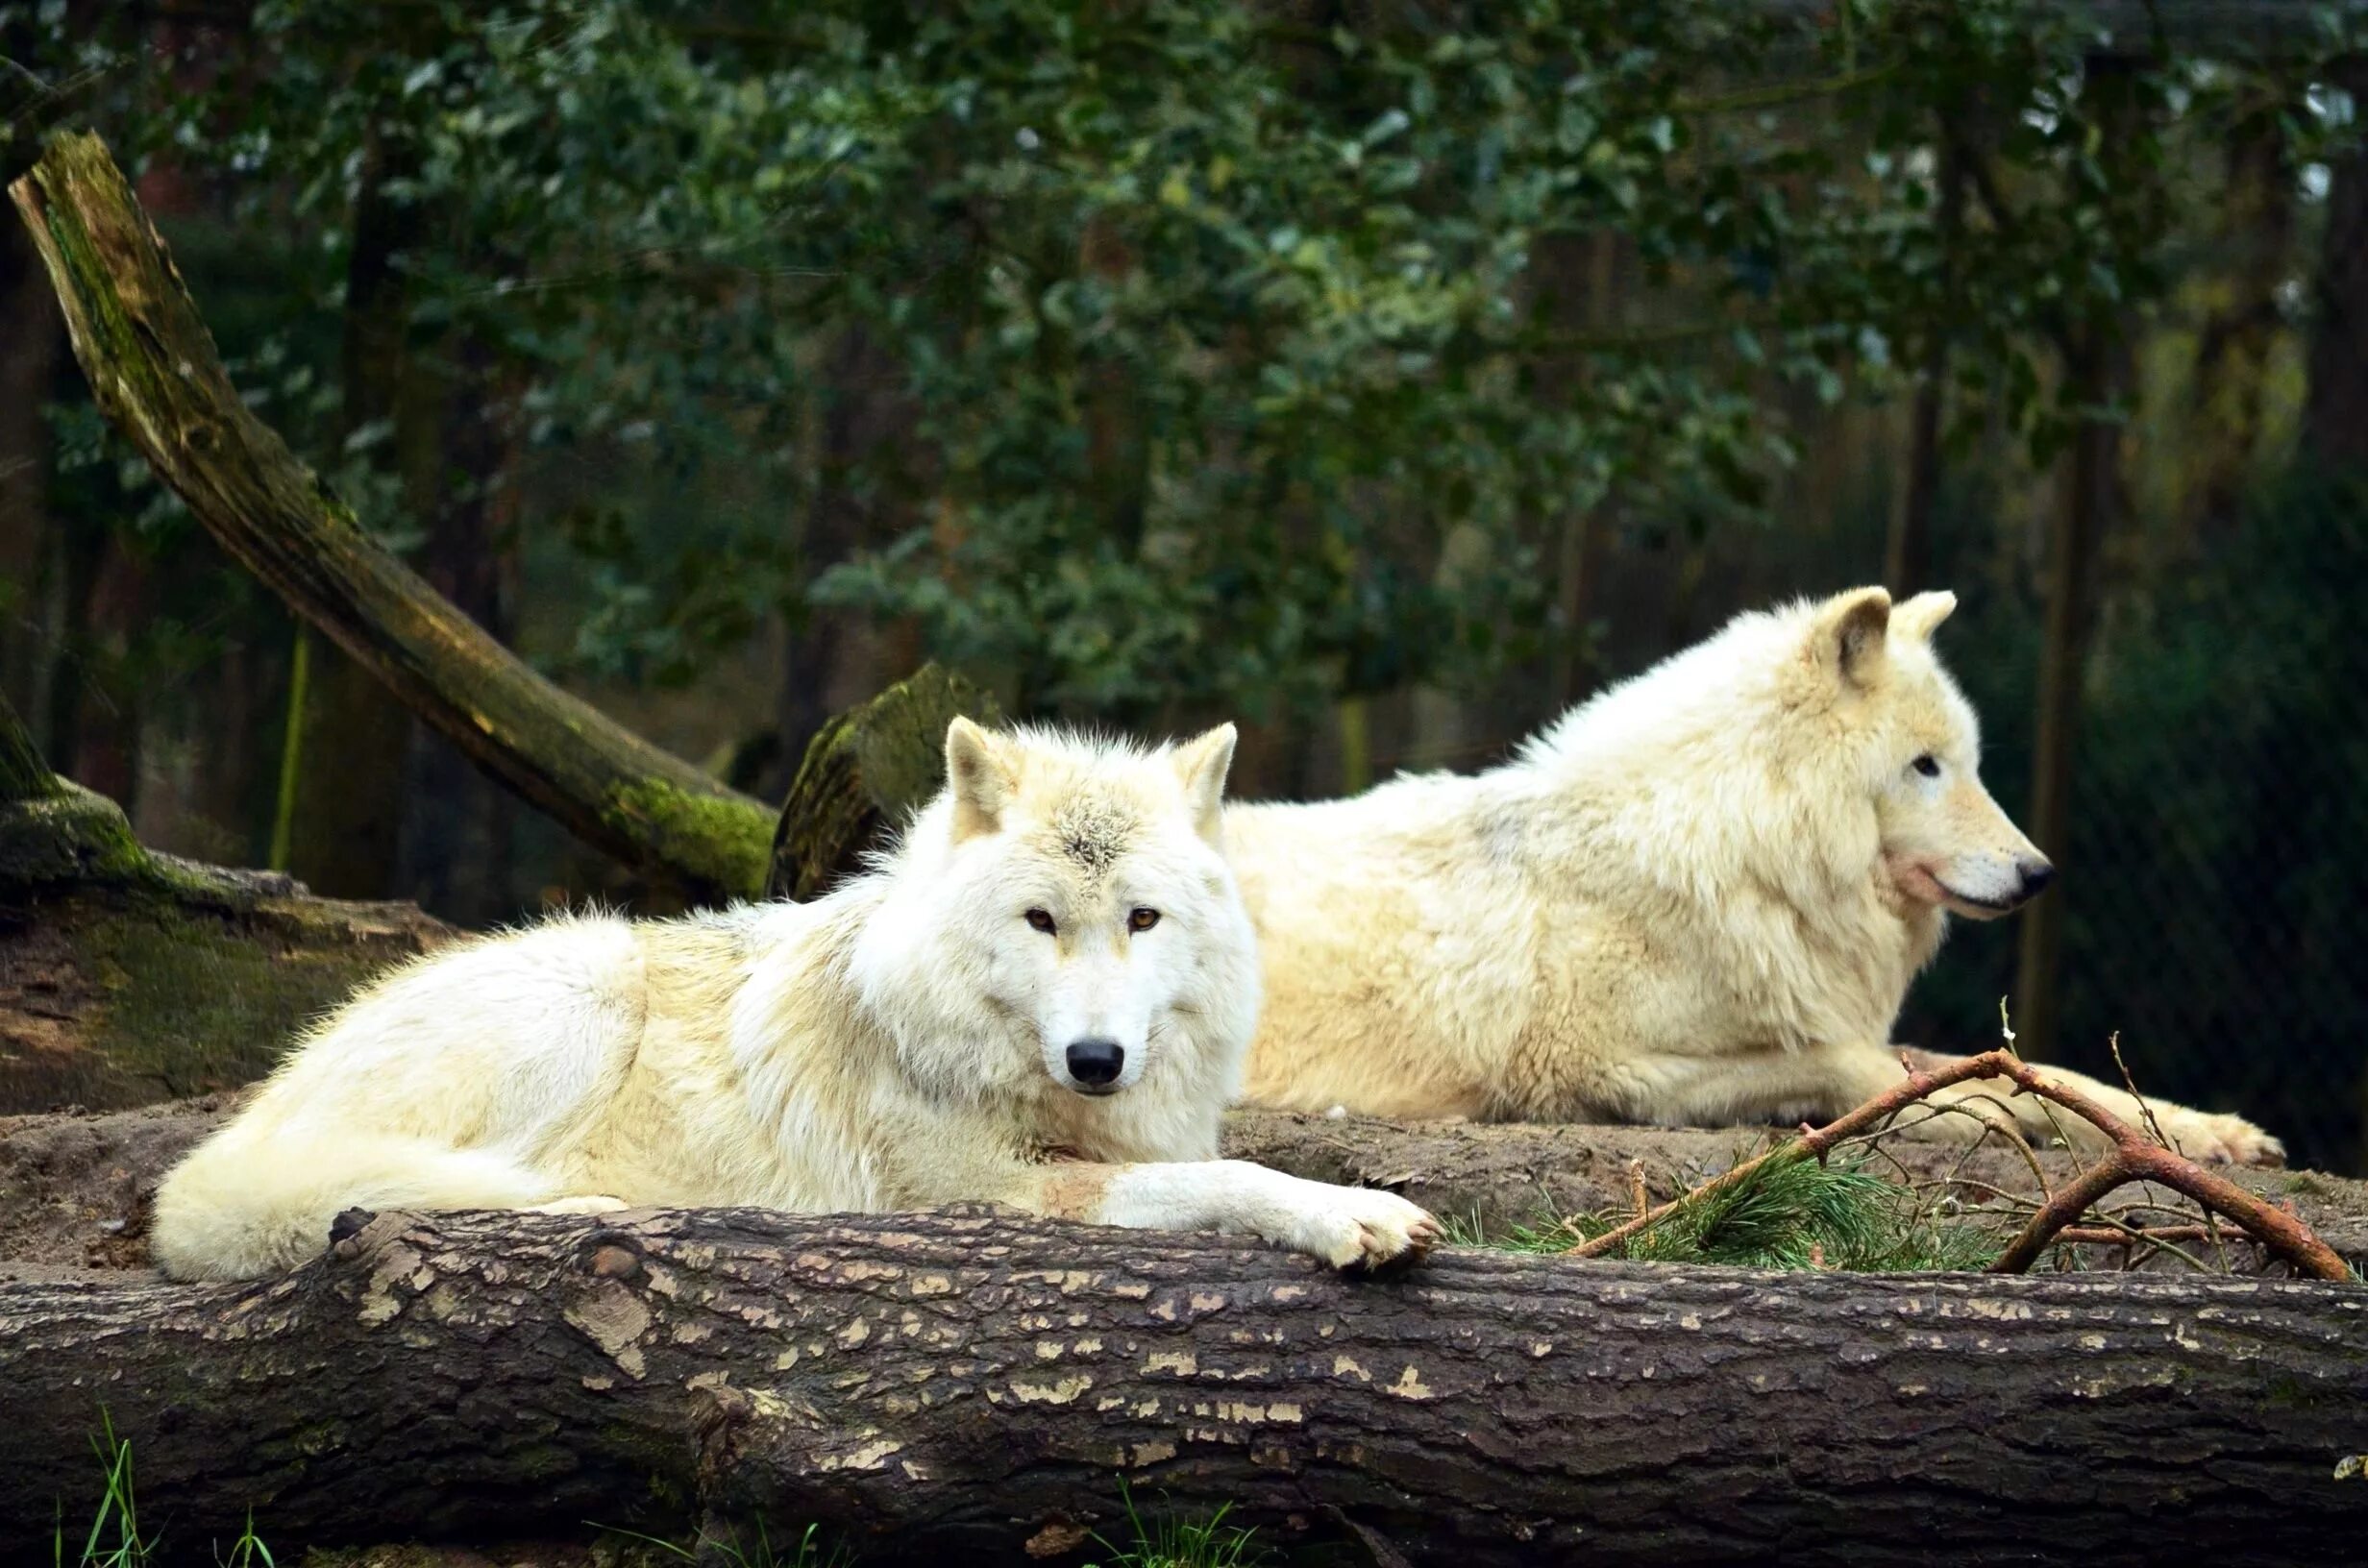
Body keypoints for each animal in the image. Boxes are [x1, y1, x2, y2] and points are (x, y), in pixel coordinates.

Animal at [157, 720, 1440, 1288]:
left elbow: (1212, 1160)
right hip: (578, 996)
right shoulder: (994, 1194)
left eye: (1143, 920)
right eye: (1040, 922)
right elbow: (1226, 1177)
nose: (1094, 1059)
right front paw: (1352, 1213)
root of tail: (212, 1158)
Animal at [1231, 589, 2282, 1164]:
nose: (2038, 873)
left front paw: (2209, 1131)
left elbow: (2048, 1073)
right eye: (1925, 766)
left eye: (1969, 762)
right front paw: (1971, 1112)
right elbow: (1863, 1070)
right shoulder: (1593, 1068)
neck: (1745, 850)